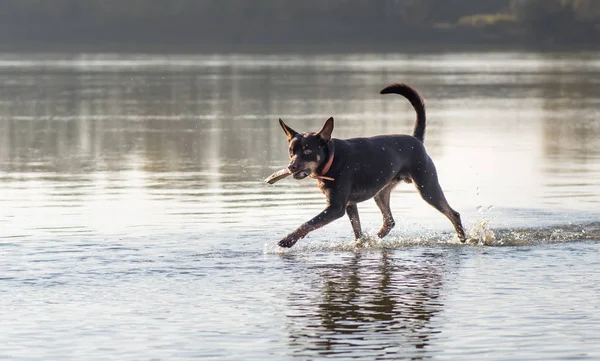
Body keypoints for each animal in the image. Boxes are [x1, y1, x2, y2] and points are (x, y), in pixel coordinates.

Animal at [274, 82, 466, 246]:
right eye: (291, 151)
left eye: (307, 151)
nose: (291, 167)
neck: (332, 160)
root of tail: (416, 140)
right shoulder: (350, 205)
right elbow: (357, 230)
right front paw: (360, 242)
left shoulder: (336, 207)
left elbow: (308, 223)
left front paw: (287, 240)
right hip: (381, 192)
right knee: (389, 221)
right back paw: (373, 239)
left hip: (427, 186)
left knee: (453, 213)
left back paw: (463, 238)